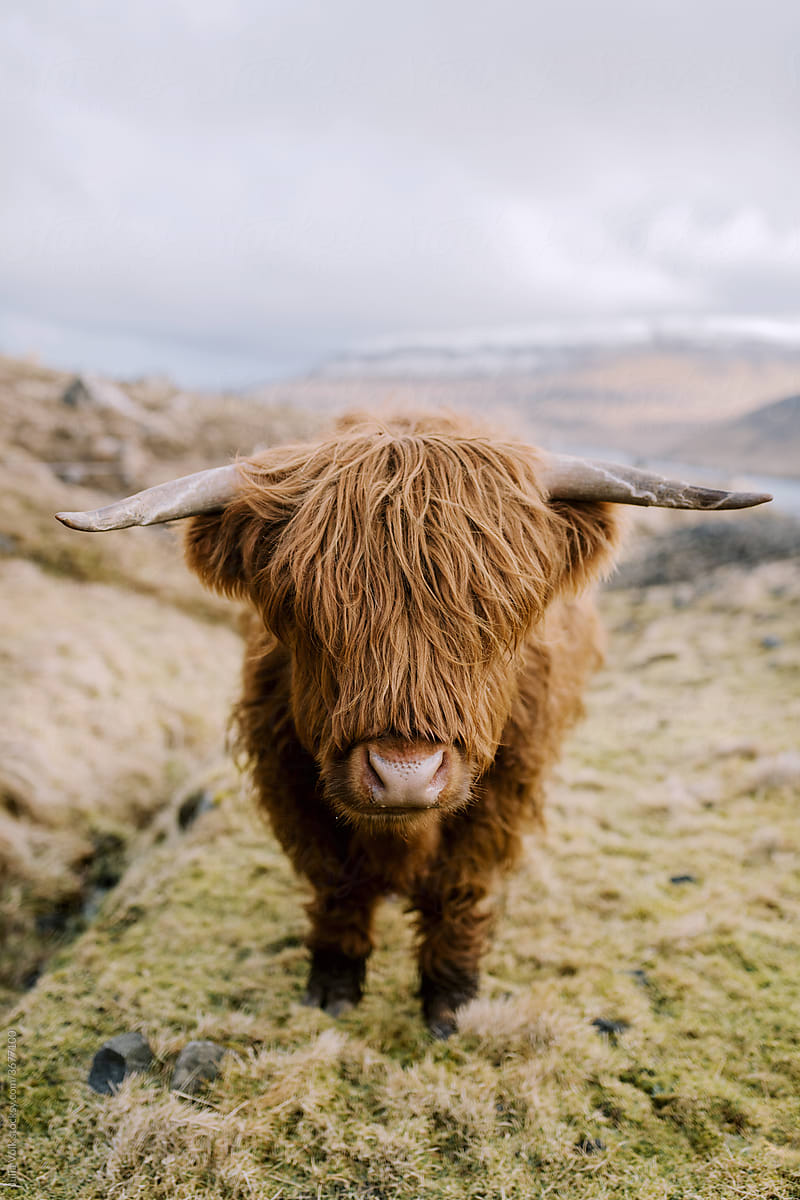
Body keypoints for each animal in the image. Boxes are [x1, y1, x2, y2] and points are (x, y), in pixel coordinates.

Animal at [57, 411, 770, 1037]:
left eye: (499, 610)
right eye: (305, 610)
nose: (404, 775)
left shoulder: (504, 787)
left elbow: (458, 886)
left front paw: (450, 1000)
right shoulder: (290, 780)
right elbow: (337, 882)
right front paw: (334, 985)